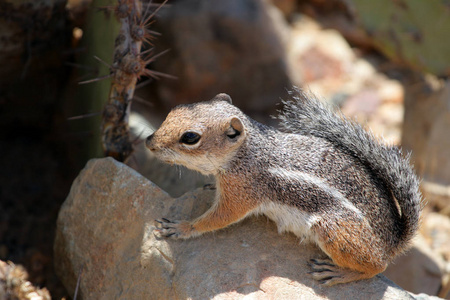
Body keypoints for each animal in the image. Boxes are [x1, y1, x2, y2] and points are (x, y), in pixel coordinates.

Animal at [145, 88, 422, 284]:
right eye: (175, 110)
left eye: (190, 137)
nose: (149, 142)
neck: (246, 152)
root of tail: (393, 240)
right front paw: (211, 188)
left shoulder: (243, 191)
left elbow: (219, 218)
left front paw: (181, 227)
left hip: (334, 228)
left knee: (377, 267)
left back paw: (338, 273)